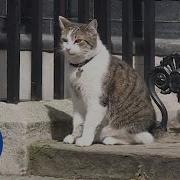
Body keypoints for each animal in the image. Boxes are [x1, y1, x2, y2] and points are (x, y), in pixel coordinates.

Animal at [58, 16, 156, 147]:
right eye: (64, 40)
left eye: (78, 40)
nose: (67, 48)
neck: (81, 65)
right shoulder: (77, 99)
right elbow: (78, 121)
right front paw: (75, 136)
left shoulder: (97, 100)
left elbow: (89, 123)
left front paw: (84, 140)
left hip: (126, 125)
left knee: (143, 138)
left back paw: (110, 139)